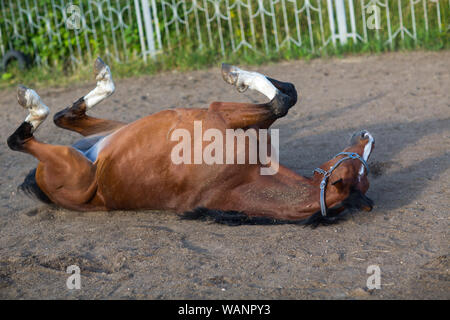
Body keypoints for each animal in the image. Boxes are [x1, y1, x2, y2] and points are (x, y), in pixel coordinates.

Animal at [7, 58, 374, 228]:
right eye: (355, 166)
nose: (365, 135)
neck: (240, 179)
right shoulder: (237, 120)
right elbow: (288, 95)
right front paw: (240, 74)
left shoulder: (221, 113)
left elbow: (282, 101)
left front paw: (236, 75)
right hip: (114, 131)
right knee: (63, 117)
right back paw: (99, 77)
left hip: (74, 163)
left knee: (26, 135)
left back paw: (36, 100)